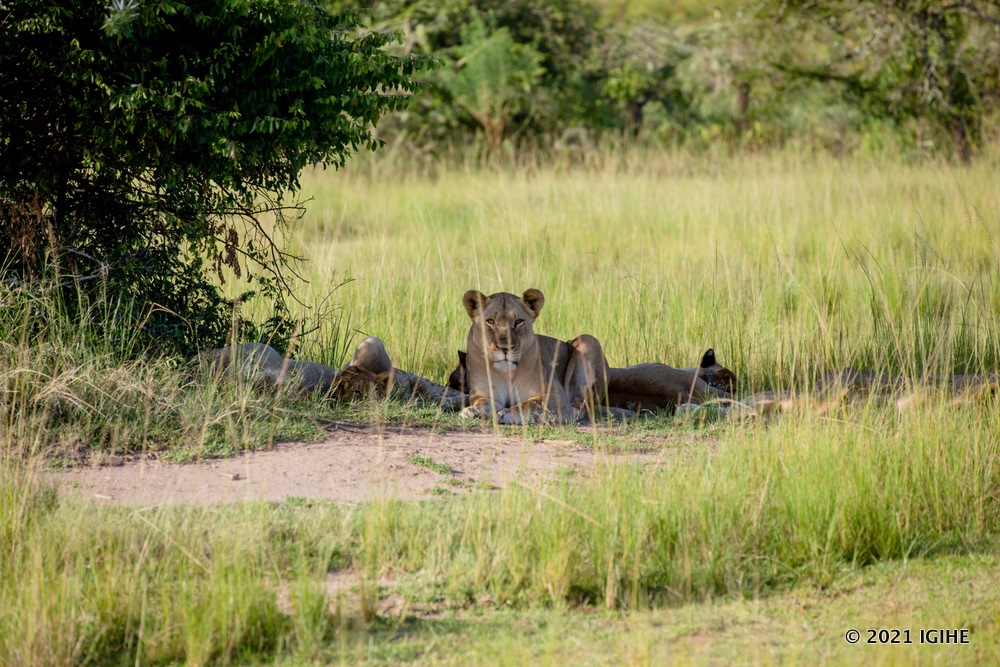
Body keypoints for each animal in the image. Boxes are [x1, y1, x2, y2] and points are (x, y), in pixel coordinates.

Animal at [457, 288, 735, 425]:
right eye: (490, 321)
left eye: (518, 322)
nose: (504, 347)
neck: (506, 371)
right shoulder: (481, 392)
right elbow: (483, 402)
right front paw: (473, 411)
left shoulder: (553, 396)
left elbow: (528, 404)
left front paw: (505, 414)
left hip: (588, 341)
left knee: (580, 408)